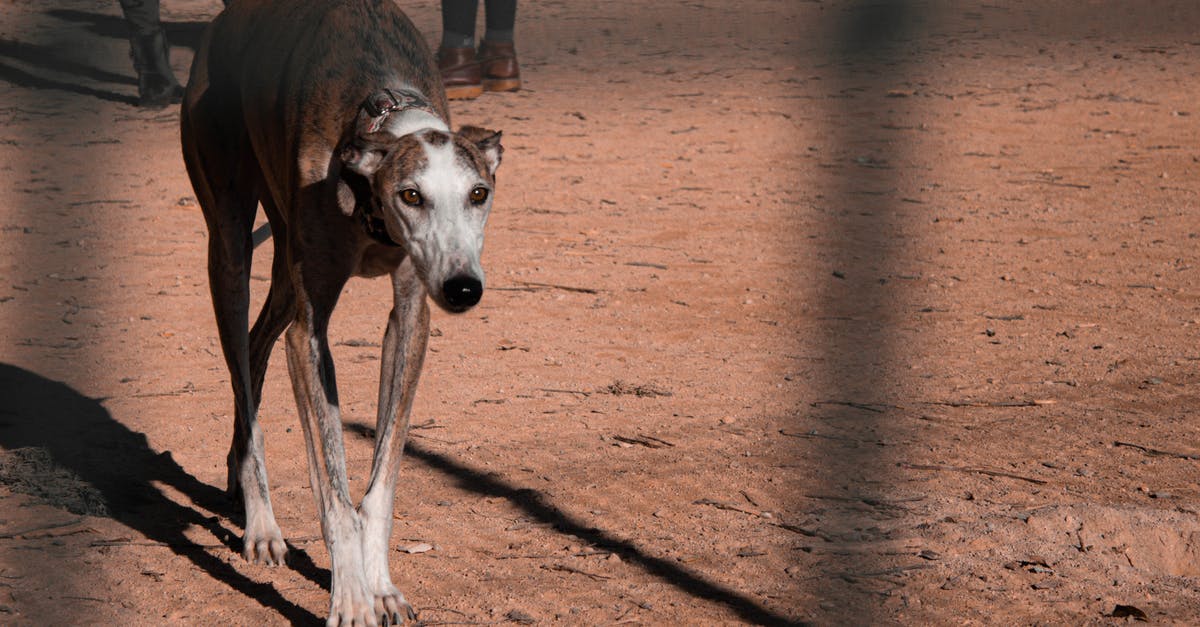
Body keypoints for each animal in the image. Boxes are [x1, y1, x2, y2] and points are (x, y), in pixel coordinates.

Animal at [180, 2, 499, 619]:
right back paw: (261, 522)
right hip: (229, 248)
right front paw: (351, 598)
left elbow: (379, 485)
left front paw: (381, 586)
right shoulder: (309, 334)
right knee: (240, 354)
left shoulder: (410, 317)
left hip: (285, 265)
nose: (462, 289)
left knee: (254, 348)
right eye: (411, 195)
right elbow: (334, 491)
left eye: (479, 193)